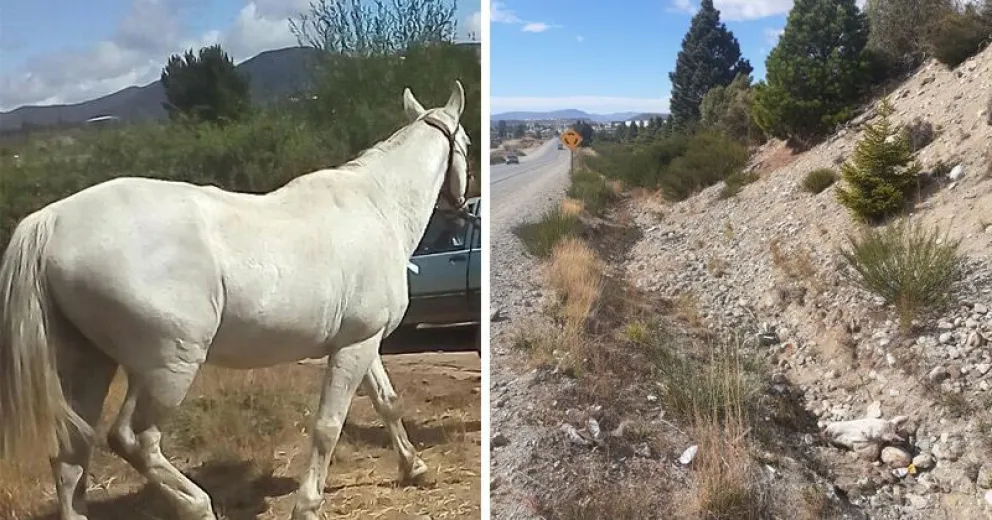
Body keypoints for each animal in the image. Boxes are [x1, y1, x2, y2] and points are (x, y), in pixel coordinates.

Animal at [0, 80, 472, 520]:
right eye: (467, 143)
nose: (463, 206)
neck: (377, 206)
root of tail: (52, 220)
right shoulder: (355, 346)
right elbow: (328, 425)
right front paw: (308, 504)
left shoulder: (361, 340)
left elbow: (386, 403)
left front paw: (415, 468)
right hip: (168, 368)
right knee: (133, 439)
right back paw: (197, 504)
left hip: (90, 364)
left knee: (71, 452)